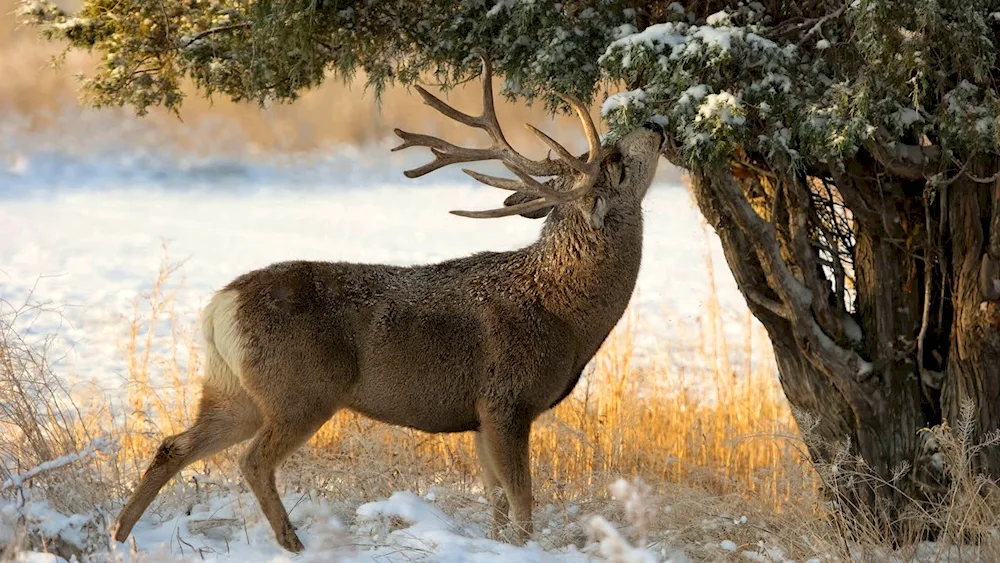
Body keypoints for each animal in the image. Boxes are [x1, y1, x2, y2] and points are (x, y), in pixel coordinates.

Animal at [111, 55, 664, 552]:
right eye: (613, 163)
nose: (655, 122)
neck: (563, 312)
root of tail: (219, 307)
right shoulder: (507, 400)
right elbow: (523, 504)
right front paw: (525, 548)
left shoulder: (479, 416)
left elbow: (497, 506)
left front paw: (496, 542)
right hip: (302, 390)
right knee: (252, 460)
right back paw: (292, 543)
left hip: (233, 390)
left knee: (174, 445)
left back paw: (120, 534)